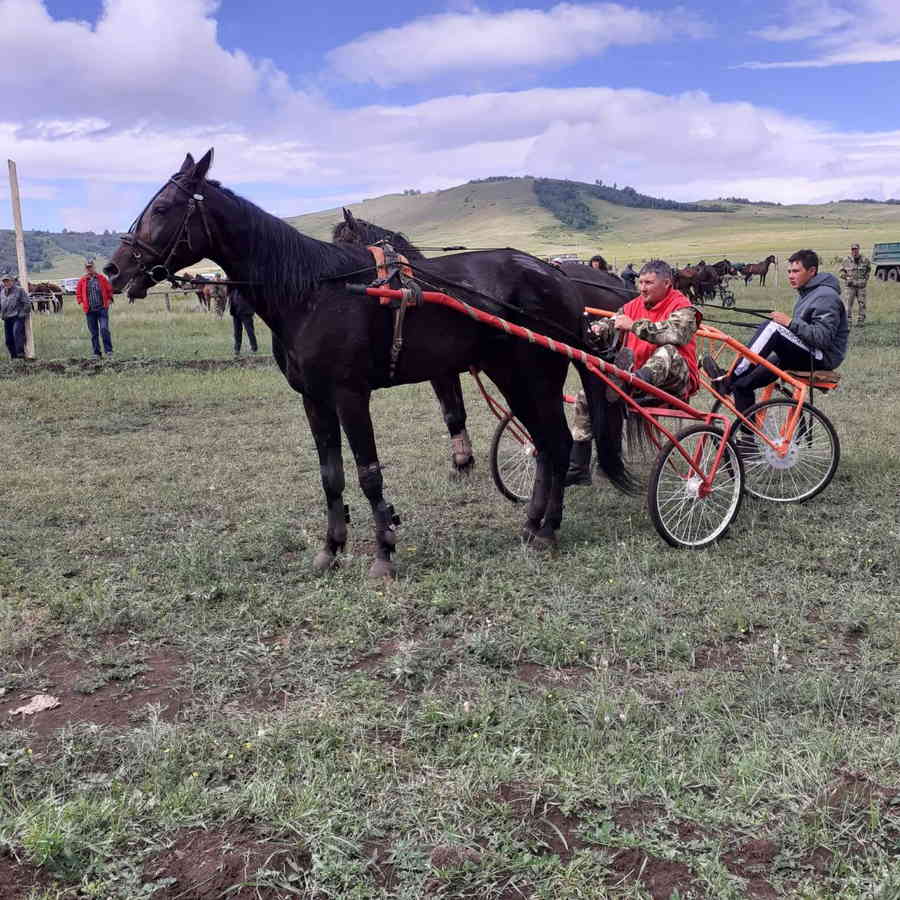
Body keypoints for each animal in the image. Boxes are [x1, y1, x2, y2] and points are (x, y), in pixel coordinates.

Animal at [102, 151, 628, 576]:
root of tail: (558, 276)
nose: (114, 270)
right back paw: (534, 524)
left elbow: (368, 472)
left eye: (162, 209)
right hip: (513, 376)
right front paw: (331, 549)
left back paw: (547, 529)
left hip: (533, 376)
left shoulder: (351, 396)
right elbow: (331, 476)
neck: (316, 291)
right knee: (546, 446)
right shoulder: (314, 400)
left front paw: (383, 551)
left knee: (556, 443)